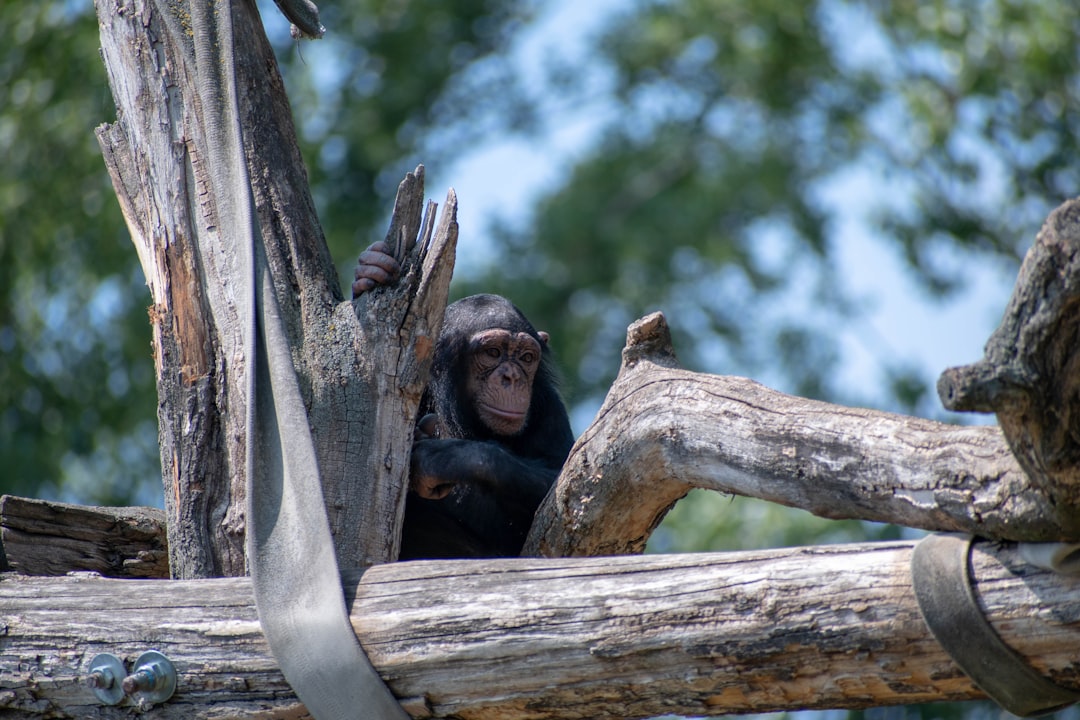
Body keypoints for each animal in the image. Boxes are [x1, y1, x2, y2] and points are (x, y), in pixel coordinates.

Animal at [352, 240, 574, 557]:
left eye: (526, 357)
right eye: (493, 352)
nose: (512, 377)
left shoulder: (550, 406)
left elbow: (563, 481)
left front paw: (446, 458)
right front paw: (372, 270)